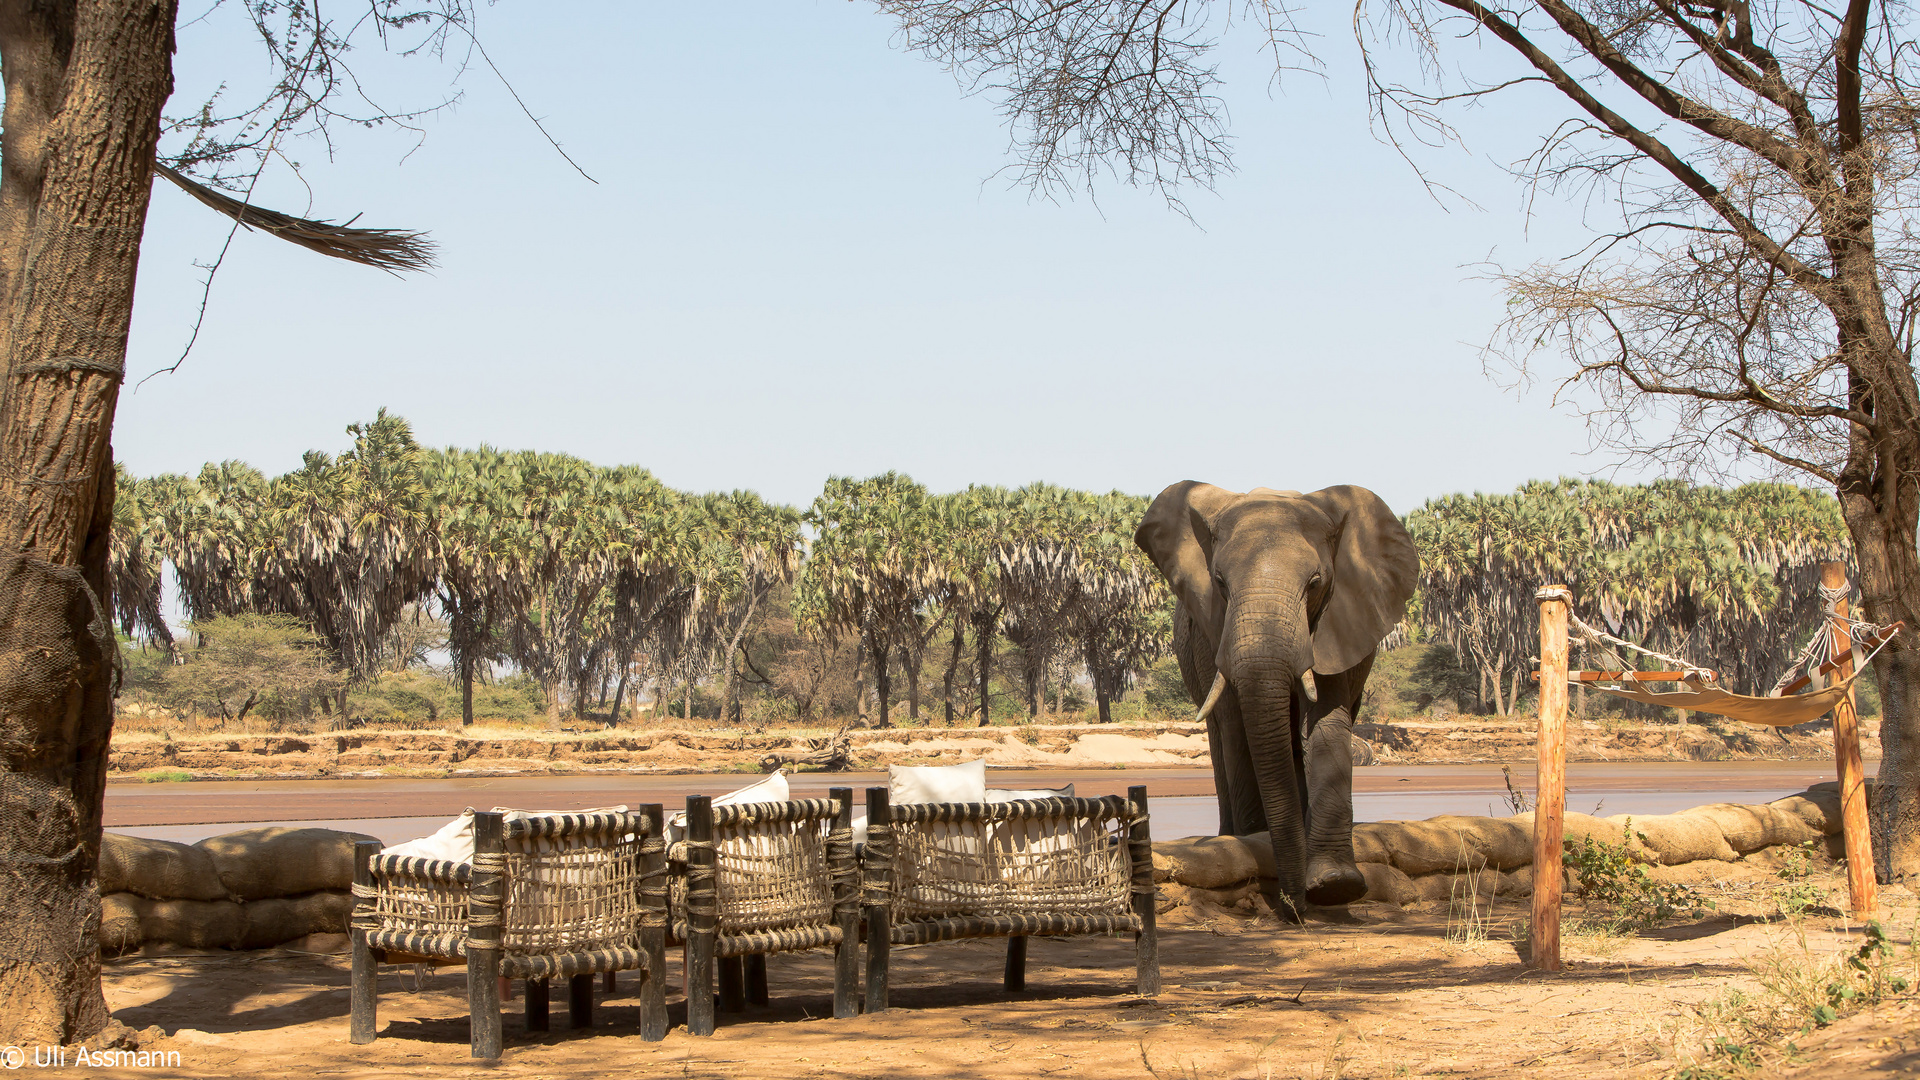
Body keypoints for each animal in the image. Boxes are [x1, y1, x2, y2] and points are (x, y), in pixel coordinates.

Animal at [1128, 478, 1420, 907]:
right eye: (1220, 583)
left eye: (1314, 584)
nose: (1294, 906)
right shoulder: (1214, 632)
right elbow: (1238, 726)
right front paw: (1254, 844)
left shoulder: (1338, 621)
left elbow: (1325, 720)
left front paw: (1335, 885)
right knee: (1223, 735)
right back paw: (1231, 835)